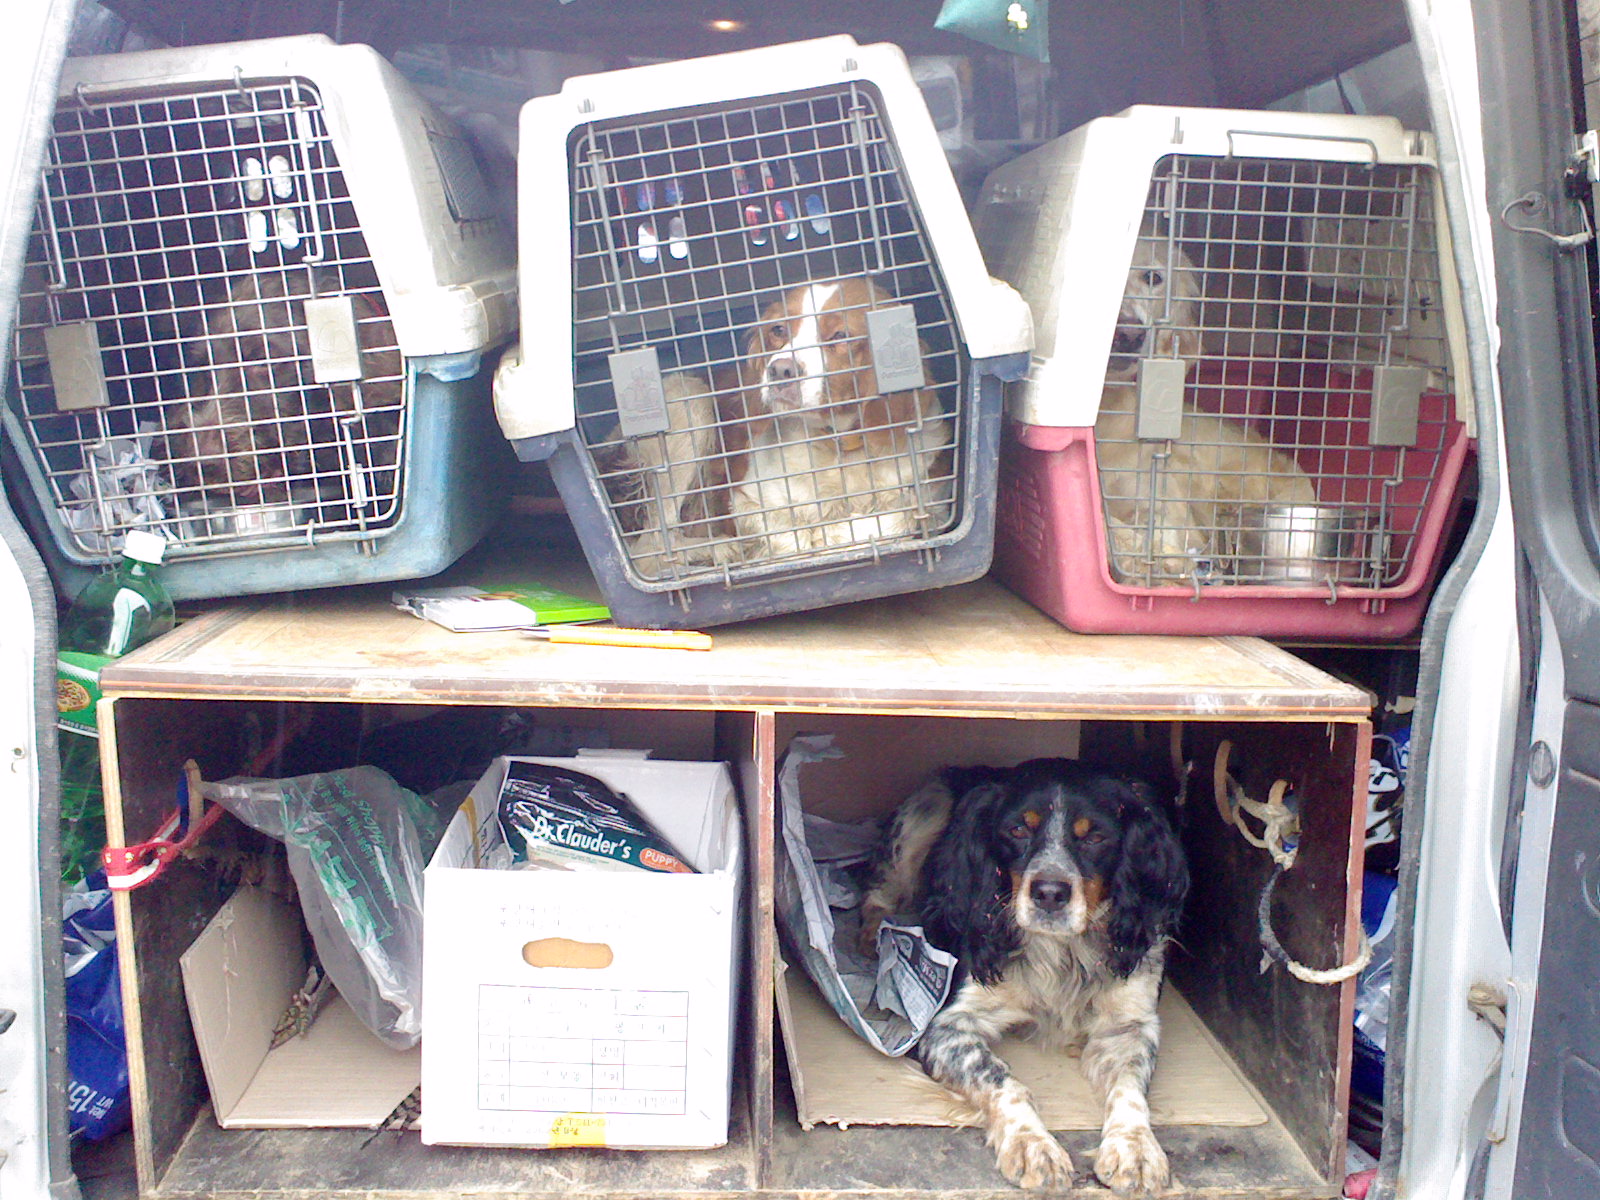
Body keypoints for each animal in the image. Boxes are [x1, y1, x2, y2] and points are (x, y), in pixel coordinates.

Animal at [725, 277, 954, 560]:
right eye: (778, 329)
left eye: (841, 335)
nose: (779, 370)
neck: (840, 446)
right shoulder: (746, 499)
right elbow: (791, 538)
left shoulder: (934, 492)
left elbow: (895, 518)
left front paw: (837, 533)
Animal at [859, 758, 1189, 1195]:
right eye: (1017, 830)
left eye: (1095, 836)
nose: (1049, 892)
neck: (1063, 952)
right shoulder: (948, 1025)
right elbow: (1002, 1078)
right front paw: (1033, 1145)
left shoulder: (1131, 1024)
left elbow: (1131, 1086)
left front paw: (1135, 1147)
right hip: (922, 815)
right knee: (878, 894)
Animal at [1093, 235, 1318, 583]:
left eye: (1153, 278)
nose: (1129, 333)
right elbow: (1108, 526)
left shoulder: (1163, 502)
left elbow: (1158, 528)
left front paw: (1163, 559)